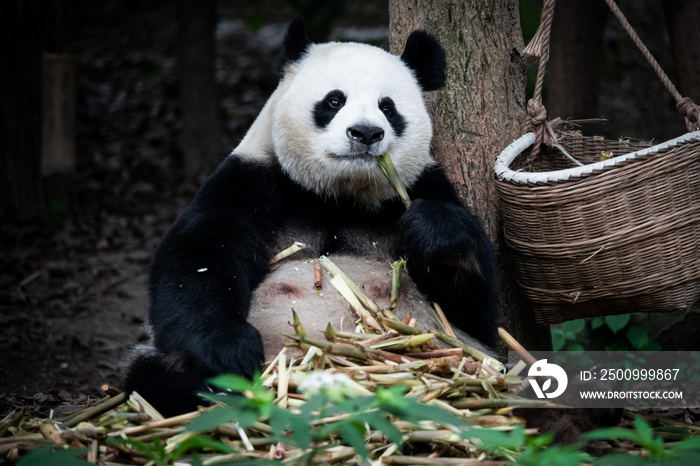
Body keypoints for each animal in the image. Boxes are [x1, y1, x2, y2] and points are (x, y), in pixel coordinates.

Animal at [124, 19, 498, 418]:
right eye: (334, 101)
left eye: (388, 107)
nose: (366, 132)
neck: (340, 196)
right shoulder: (252, 182)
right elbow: (197, 259)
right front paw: (232, 351)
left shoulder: (423, 185)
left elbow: (474, 313)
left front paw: (433, 231)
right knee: (155, 376)